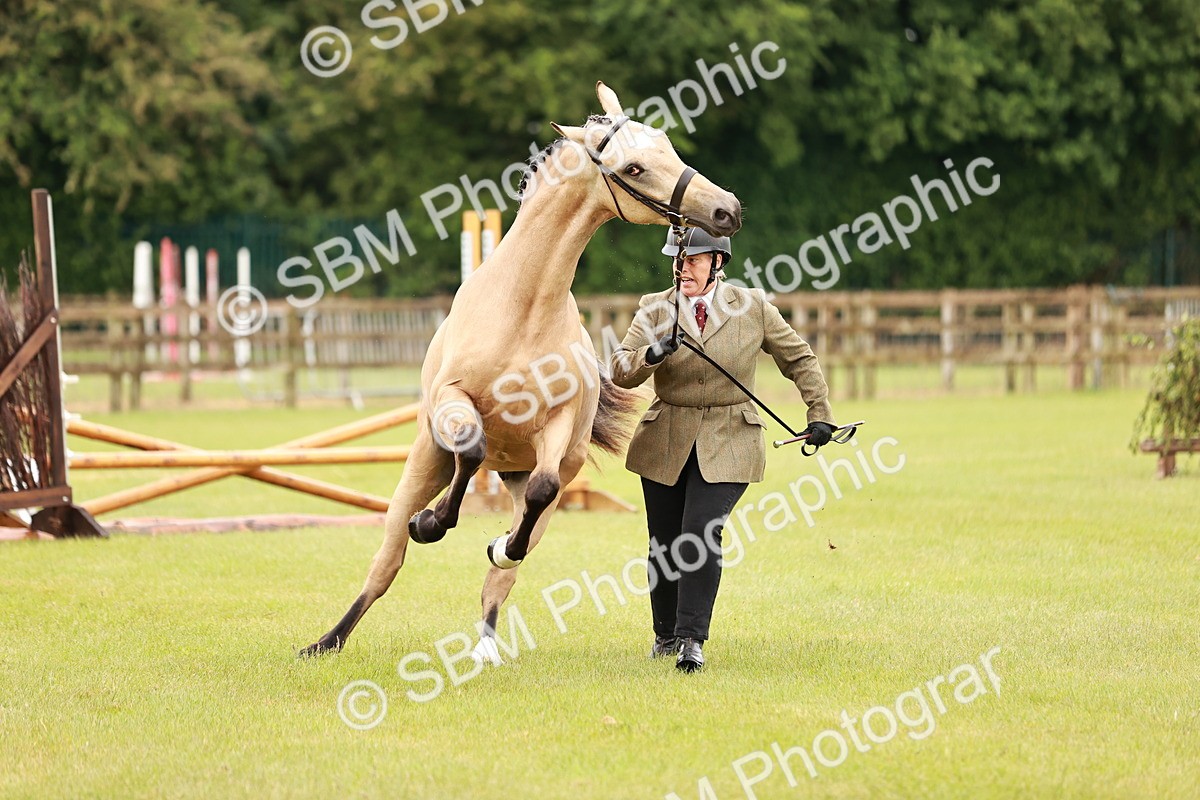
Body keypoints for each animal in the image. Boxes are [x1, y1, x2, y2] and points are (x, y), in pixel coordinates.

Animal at [301, 81, 741, 658]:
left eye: (667, 145)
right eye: (634, 168)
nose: (727, 209)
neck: (523, 308)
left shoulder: (555, 431)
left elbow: (541, 491)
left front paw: (496, 544)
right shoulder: (454, 401)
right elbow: (470, 450)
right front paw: (432, 522)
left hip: (521, 478)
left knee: (507, 563)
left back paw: (488, 633)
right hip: (422, 460)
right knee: (389, 558)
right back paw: (330, 636)